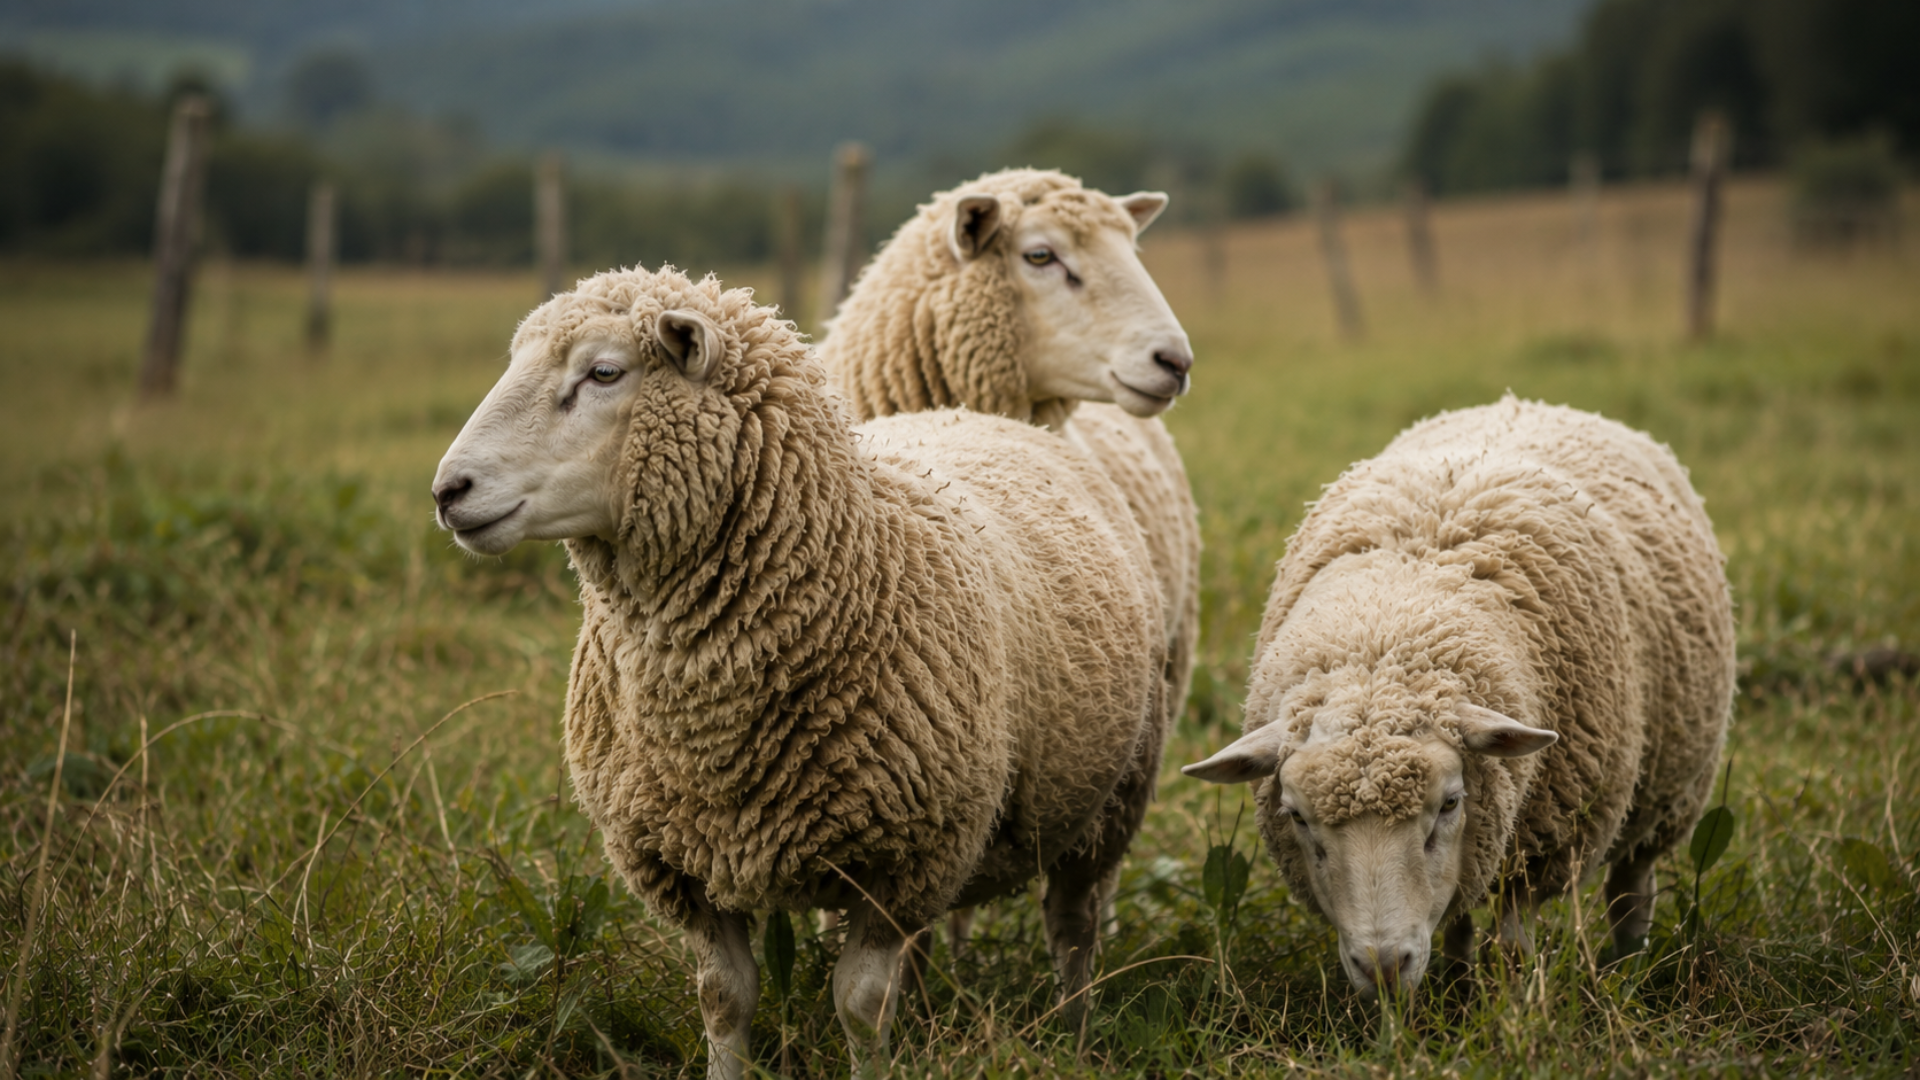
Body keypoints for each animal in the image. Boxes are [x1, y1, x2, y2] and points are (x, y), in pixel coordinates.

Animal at [431, 265, 1163, 1077]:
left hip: (1109, 802)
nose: (449, 491)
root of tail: (970, 412)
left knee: (1072, 928)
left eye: (603, 373)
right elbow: (724, 998)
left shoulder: (904, 857)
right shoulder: (678, 862)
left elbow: (862, 1004)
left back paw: (1078, 1034)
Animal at [1184, 396, 1735, 998]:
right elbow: (1459, 918)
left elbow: (1514, 938)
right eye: (1296, 817)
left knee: (1631, 886)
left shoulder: (1546, 844)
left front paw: (1512, 999)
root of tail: (1523, 401)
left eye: (1449, 803)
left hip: (1671, 792)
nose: (1383, 967)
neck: (1391, 626)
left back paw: (1629, 962)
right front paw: (1458, 985)